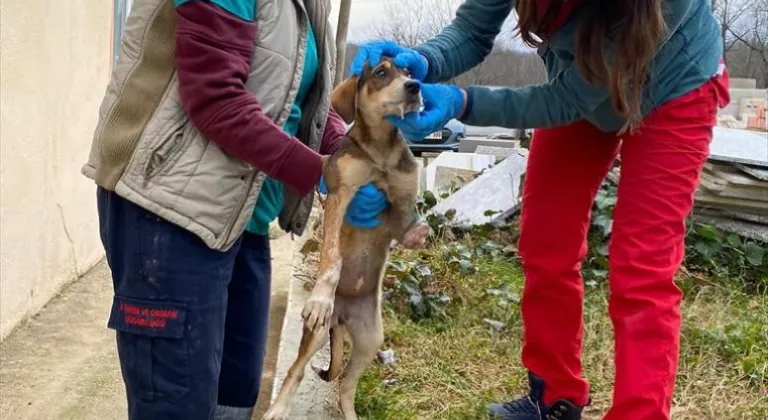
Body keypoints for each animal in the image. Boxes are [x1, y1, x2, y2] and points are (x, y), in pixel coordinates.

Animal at [264, 60, 428, 420]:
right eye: (381, 72)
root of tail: (342, 317)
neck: (380, 151)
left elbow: (407, 224)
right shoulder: (340, 195)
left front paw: (420, 233)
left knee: (346, 386)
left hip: (370, 340)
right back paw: (277, 409)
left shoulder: (399, 205)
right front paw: (321, 296)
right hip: (317, 334)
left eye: (409, 71)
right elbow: (332, 256)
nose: (415, 87)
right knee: (296, 371)